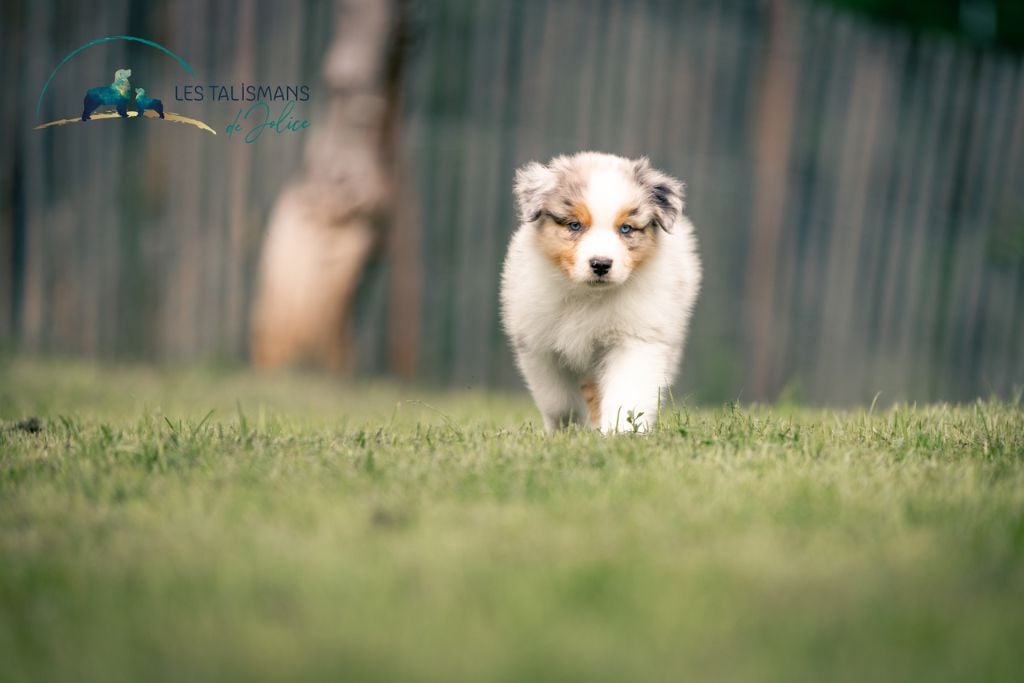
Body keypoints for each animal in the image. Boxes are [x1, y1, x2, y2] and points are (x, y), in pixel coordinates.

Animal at [500, 152, 701, 433]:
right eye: (574, 225)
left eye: (626, 229)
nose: (601, 264)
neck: (589, 297)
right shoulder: (539, 345)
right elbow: (558, 401)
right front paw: (568, 429)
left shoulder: (637, 336)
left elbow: (629, 390)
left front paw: (621, 432)